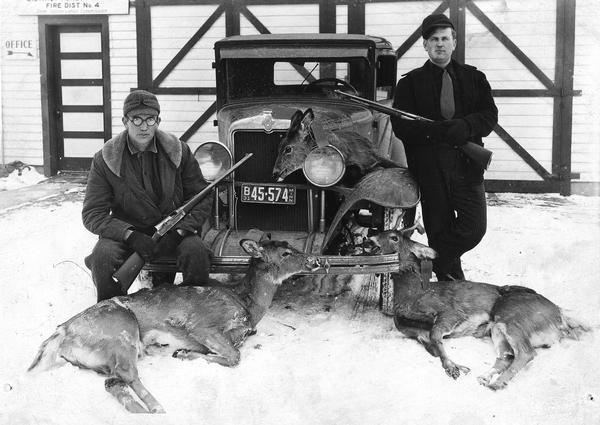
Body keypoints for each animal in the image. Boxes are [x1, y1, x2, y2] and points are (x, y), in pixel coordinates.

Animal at [27, 238, 322, 410]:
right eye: (286, 253)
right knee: (127, 373)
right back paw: (158, 407)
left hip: (102, 359)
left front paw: (183, 352)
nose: (317, 259)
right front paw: (188, 354)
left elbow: (227, 352)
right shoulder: (202, 325)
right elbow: (235, 356)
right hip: (121, 329)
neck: (246, 305)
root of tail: (61, 332)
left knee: (113, 383)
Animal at [368, 229, 588, 388]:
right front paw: (458, 367)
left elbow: (436, 336)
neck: (411, 295)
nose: (370, 238)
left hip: (511, 315)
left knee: (526, 353)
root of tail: (560, 316)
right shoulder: (414, 332)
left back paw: (496, 384)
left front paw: (453, 368)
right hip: (498, 329)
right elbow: (433, 348)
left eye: (394, 237)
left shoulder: (449, 312)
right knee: (507, 356)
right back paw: (484, 378)